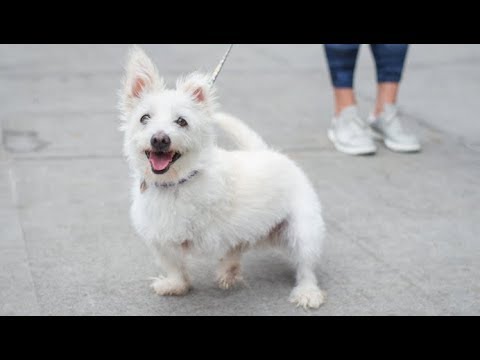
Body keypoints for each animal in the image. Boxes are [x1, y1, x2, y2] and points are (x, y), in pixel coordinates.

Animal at [119, 46, 326, 308]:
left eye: (181, 121)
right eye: (144, 118)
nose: (159, 139)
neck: (176, 183)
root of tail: (268, 152)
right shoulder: (159, 237)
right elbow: (173, 264)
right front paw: (176, 284)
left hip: (303, 231)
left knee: (305, 266)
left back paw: (307, 292)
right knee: (239, 246)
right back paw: (229, 270)